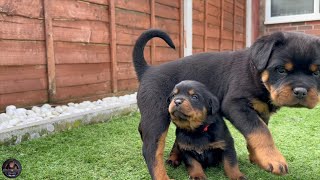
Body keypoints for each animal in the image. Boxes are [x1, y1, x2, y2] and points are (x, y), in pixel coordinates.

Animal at [133, 28, 320, 179]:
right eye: (281, 70)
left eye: (316, 72)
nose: (301, 91)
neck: (256, 73)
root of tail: (148, 70)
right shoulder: (234, 104)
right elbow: (261, 132)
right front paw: (273, 159)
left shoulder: (261, 111)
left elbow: (255, 133)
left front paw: (258, 159)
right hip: (157, 116)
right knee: (151, 150)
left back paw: (174, 157)